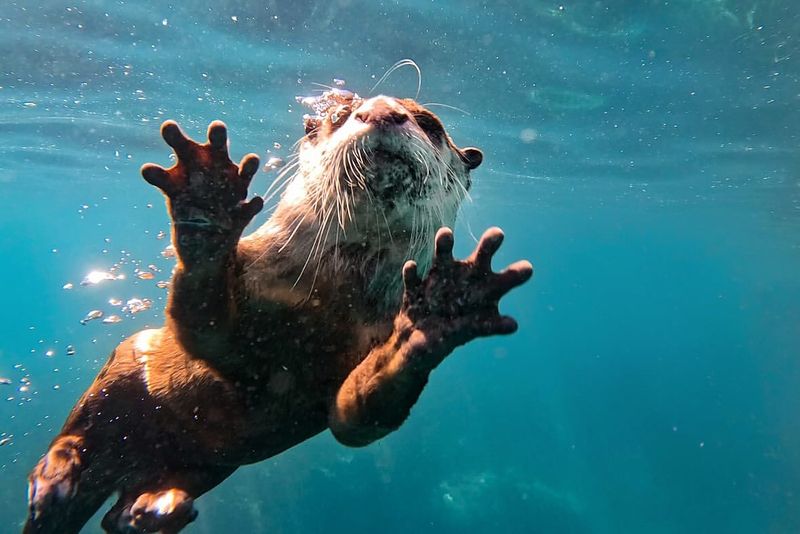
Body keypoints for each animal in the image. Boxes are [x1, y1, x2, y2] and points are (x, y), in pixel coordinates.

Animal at [25, 92, 536, 534]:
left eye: (429, 123)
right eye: (341, 115)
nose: (382, 112)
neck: (326, 300)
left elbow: (354, 419)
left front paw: (436, 313)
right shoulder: (250, 277)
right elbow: (204, 328)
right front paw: (207, 199)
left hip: (210, 464)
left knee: (119, 515)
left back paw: (153, 509)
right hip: (121, 372)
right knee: (75, 444)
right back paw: (58, 476)